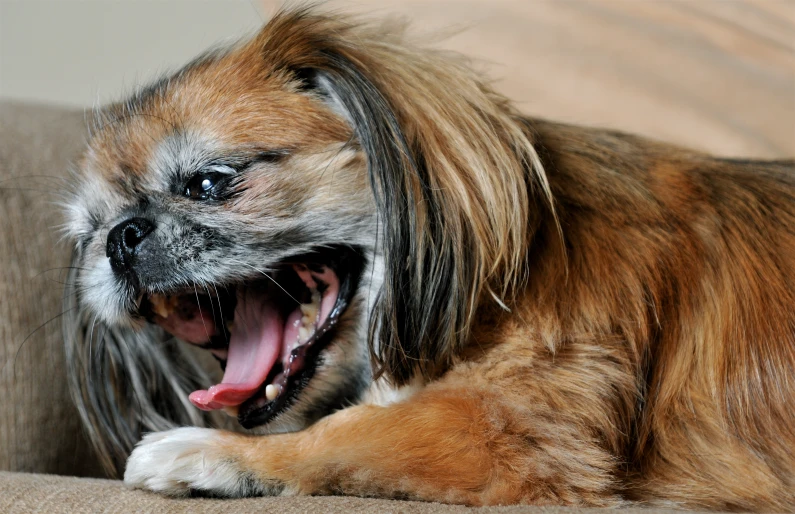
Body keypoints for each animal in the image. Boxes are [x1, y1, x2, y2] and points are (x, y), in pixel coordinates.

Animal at [63, 7, 795, 508]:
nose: (122, 236)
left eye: (208, 183)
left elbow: (355, 432)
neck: (505, 278)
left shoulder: (514, 433)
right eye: (89, 229)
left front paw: (214, 452)